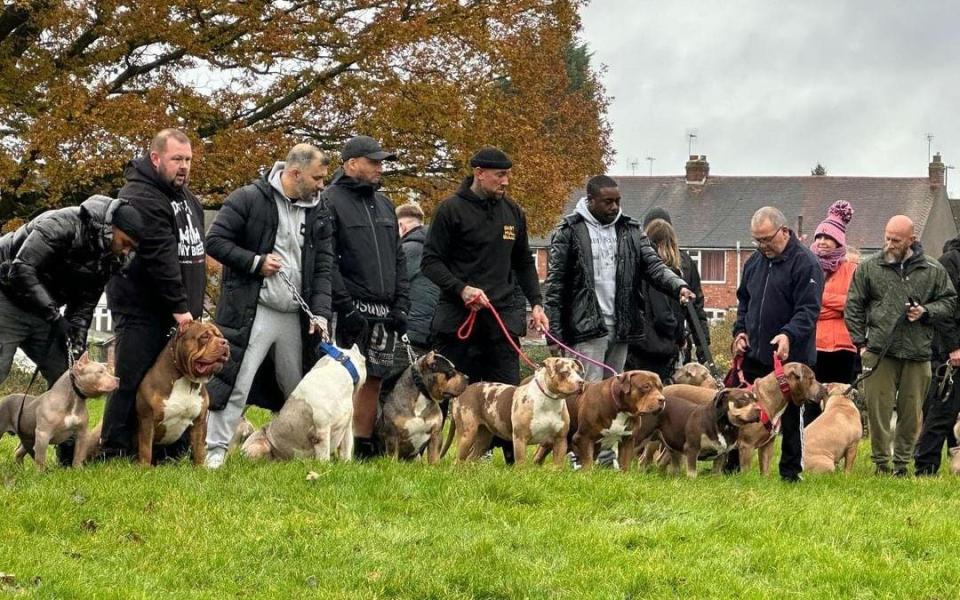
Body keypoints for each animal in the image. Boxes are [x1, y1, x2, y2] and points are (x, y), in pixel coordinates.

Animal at [135, 322, 229, 466]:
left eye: (220, 336)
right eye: (205, 336)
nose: (225, 342)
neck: (187, 380)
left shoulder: (199, 422)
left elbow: (199, 449)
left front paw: (200, 467)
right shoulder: (147, 419)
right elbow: (146, 448)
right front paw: (144, 468)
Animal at [440, 356, 584, 464]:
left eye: (579, 373)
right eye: (565, 372)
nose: (581, 382)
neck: (549, 401)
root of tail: (463, 392)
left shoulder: (560, 441)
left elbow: (557, 466)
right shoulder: (520, 439)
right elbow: (521, 464)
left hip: (483, 438)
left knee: (470, 459)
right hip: (467, 434)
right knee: (458, 461)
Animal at [532, 368, 668, 472]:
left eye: (661, 388)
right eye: (646, 386)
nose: (662, 399)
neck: (621, 409)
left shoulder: (627, 440)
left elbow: (624, 463)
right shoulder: (584, 437)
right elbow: (587, 462)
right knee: (541, 451)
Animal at [664, 358, 820, 476]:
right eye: (812, 378)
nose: (824, 387)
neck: (767, 399)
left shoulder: (767, 446)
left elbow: (765, 470)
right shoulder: (747, 446)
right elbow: (746, 470)